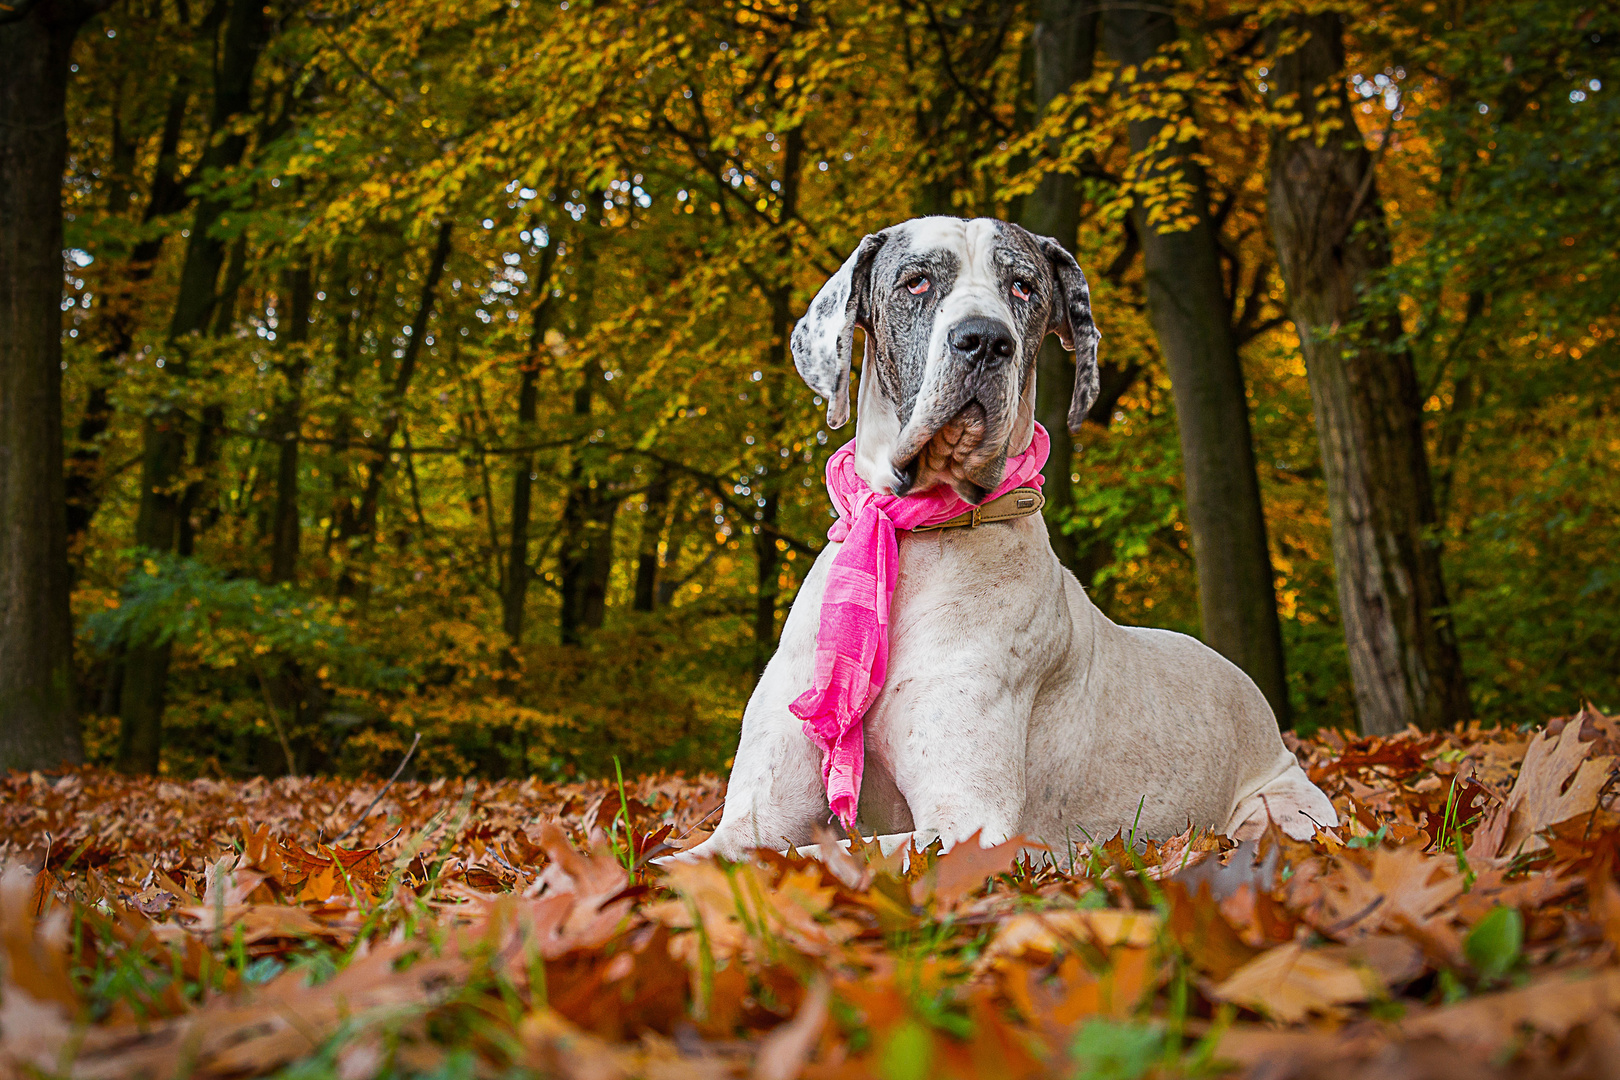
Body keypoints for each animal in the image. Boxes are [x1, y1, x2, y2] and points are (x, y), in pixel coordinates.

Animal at [677, 216, 1334, 861]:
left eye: (1023, 288)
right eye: (916, 282)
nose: (985, 341)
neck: (910, 536)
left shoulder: (967, 822)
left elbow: (824, 855)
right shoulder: (752, 820)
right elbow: (702, 858)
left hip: (1285, 811)